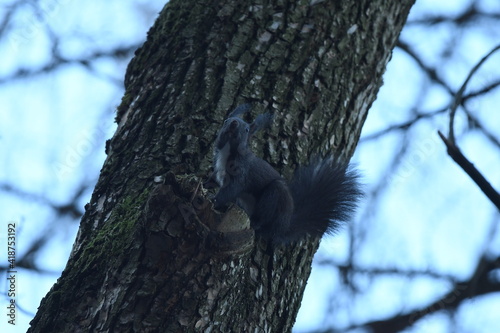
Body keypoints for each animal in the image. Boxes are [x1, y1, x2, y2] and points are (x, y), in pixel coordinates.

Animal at [208, 102, 364, 243]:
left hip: (275, 197)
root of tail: (285, 226)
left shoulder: (242, 172)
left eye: (246, 129)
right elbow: (216, 182)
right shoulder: (219, 170)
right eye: (226, 121)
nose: (233, 123)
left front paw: (215, 200)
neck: (227, 151)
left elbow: (231, 189)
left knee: (264, 220)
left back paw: (256, 224)